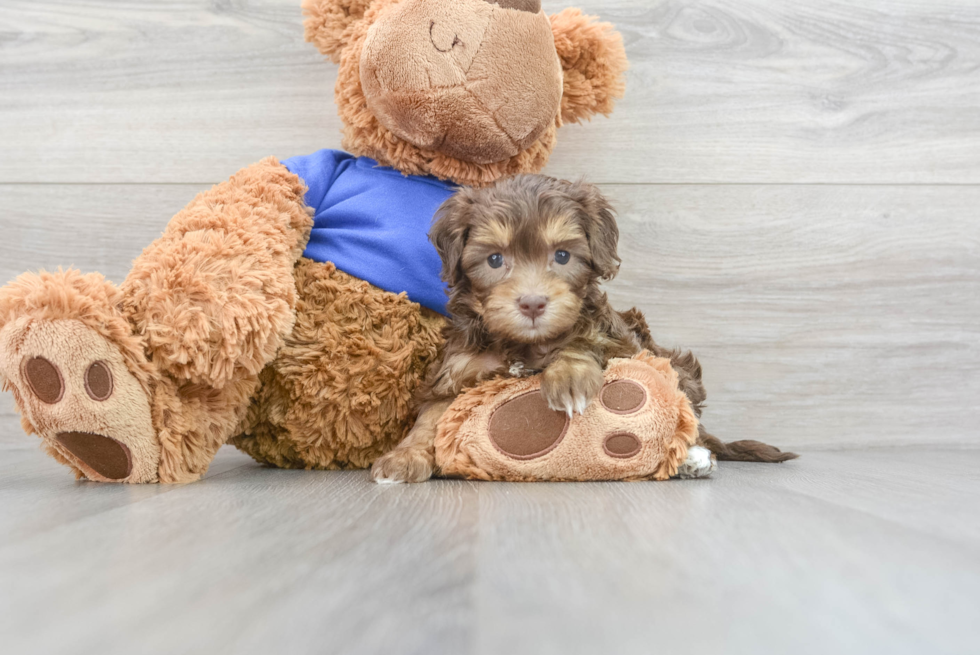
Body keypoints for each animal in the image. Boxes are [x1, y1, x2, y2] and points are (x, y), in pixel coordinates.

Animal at [372, 174, 800, 482]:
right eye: (494, 260)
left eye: (562, 256)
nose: (532, 303)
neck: (524, 345)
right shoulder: (456, 370)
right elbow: (431, 416)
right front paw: (404, 455)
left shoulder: (619, 340)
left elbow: (582, 341)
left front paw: (569, 377)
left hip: (678, 369)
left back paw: (693, 458)